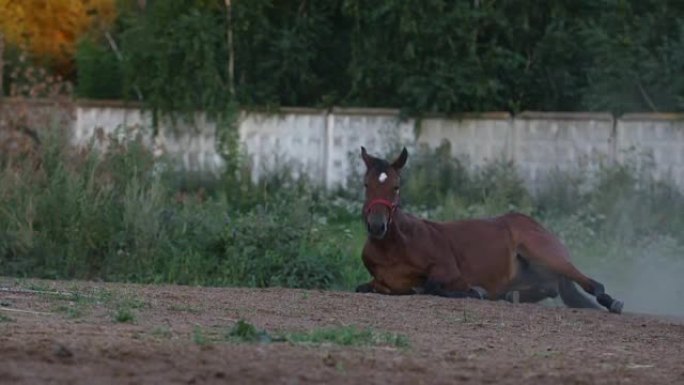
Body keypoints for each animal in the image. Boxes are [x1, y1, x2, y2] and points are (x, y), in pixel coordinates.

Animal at [358, 146, 624, 314]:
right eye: (366, 184)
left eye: (396, 186)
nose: (377, 225)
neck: (394, 248)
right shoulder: (378, 282)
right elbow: (363, 288)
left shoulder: (449, 270)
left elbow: (433, 286)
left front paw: (475, 291)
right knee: (548, 288)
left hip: (544, 252)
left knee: (590, 283)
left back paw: (612, 302)